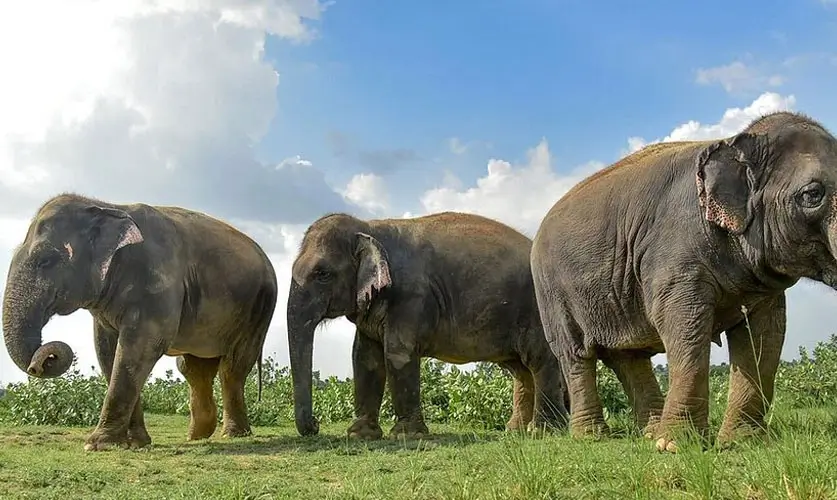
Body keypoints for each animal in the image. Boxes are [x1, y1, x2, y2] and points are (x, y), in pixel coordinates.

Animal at [2, 193, 278, 451]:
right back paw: (197, 435)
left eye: (46, 260)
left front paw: (97, 444)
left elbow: (142, 346)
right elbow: (107, 351)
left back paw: (232, 434)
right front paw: (136, 443)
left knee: (232, 366)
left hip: (259, 309)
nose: (39, 364)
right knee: (193, 368)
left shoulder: (157, 281)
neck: (106, 206)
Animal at [287, 211, 569, 439]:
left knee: (539, 359)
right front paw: (360, 435)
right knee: (520, 369)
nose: (316, 424)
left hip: (538, 309)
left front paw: (407, 436)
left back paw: (544, 431)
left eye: (322, 274)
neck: (369, 227)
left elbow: (398, 353)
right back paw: (516, 430)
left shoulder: (411, 296)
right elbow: (365, 358)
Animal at [530, 111, 837, 453]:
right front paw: (675, 446)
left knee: (629, 356)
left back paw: (649, 432)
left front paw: (743, 442)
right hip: (552, 295)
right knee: (575, 355)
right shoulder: (674, 256)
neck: (734, 141)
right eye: (812, 195)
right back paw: (592, 436)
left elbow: (764, 336)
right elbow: (683, 323)